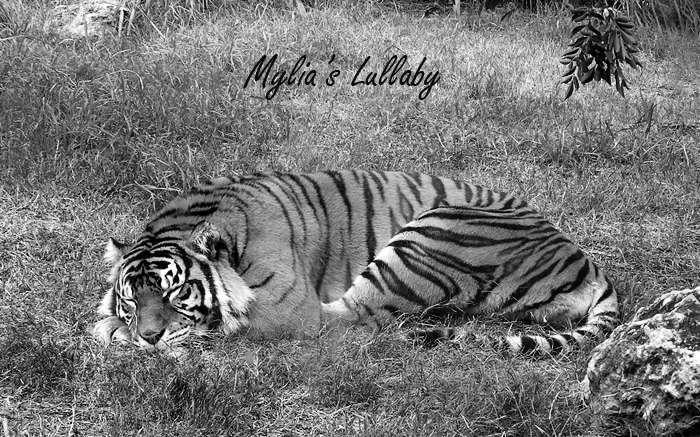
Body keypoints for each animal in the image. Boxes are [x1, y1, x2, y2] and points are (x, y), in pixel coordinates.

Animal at [92, 170, 617, 355]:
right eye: (131, 299)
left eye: (176, 291)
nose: (148, 336)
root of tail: (586, 263)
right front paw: (114, 325)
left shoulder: (289, 309)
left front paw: (116, 332)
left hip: (430, 235)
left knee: (357, 321)